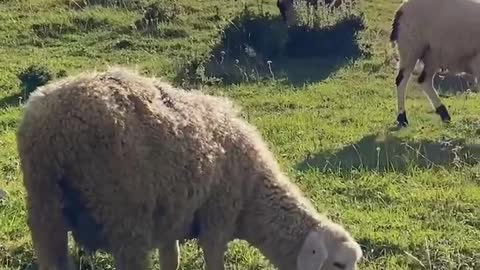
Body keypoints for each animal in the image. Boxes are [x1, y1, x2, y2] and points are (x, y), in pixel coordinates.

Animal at [15, 66, 364, 270]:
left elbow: (172, 260)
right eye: (338, 265)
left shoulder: (170, 220)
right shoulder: (217, 219)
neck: (252, 197)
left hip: (44, 207)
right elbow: (213, 261)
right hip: (123, 214)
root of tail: (52, 126)